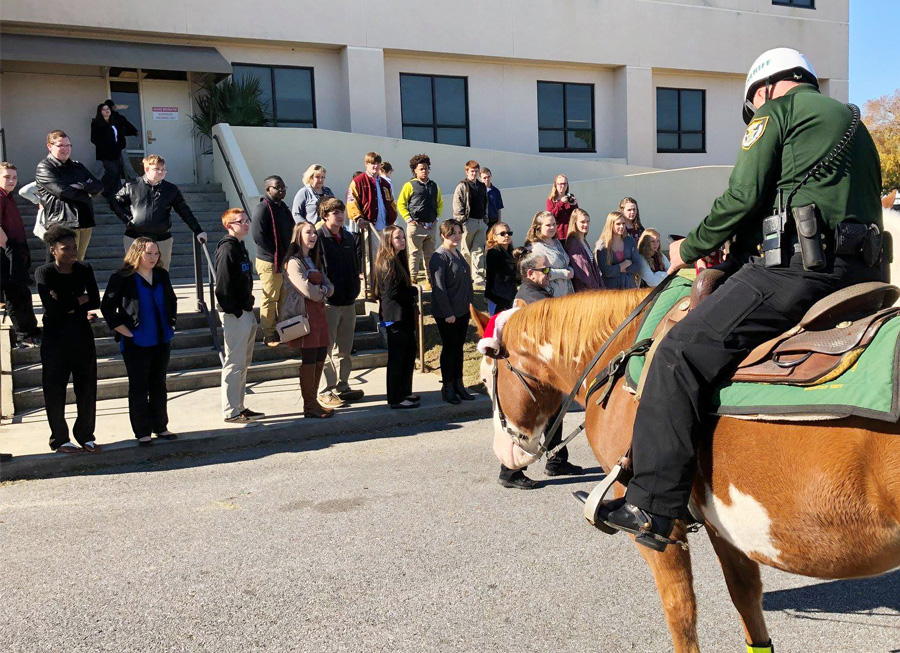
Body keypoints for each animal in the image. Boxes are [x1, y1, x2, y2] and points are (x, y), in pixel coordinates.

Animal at [472, 283, 900, 652]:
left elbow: (680, 612)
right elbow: (745, 598)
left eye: (488, 380)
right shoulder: (722, 523)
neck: (622, 350)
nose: (504, 455)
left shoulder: (655, 525)